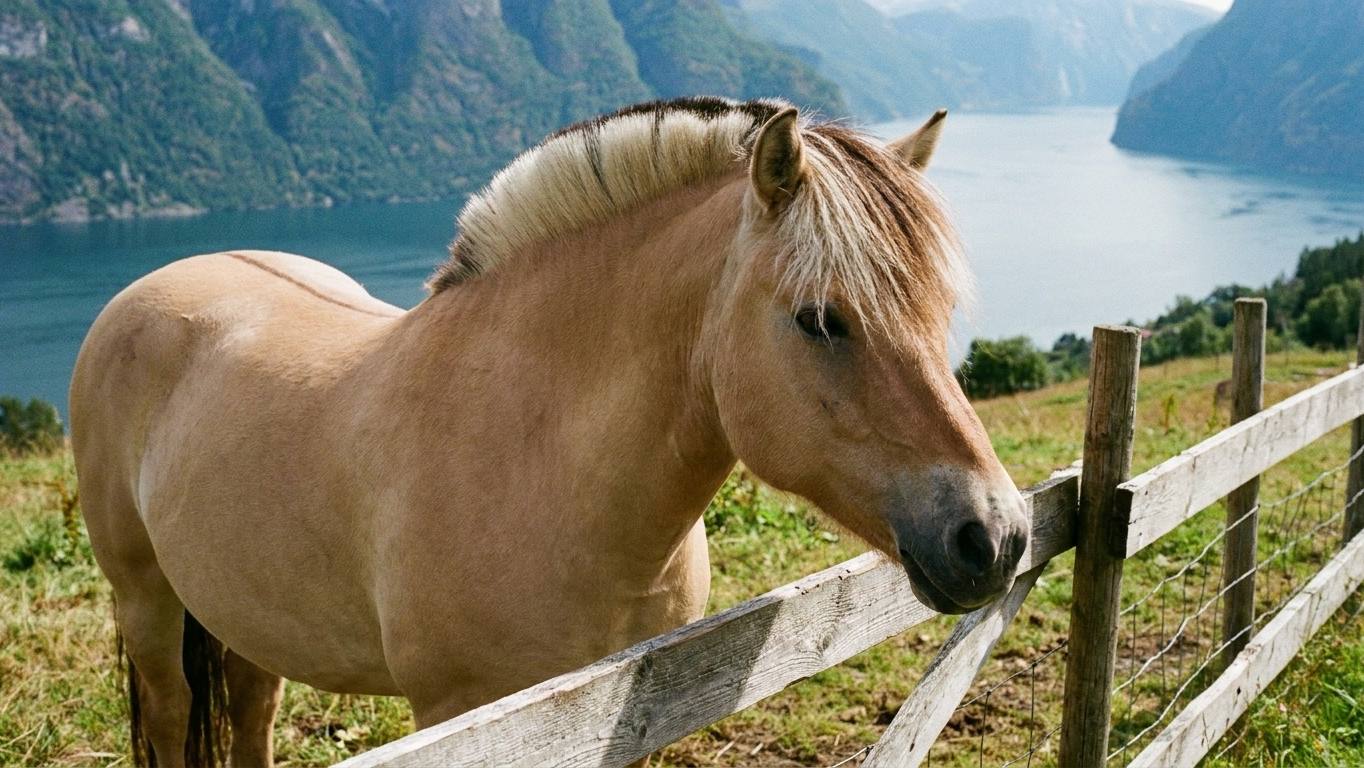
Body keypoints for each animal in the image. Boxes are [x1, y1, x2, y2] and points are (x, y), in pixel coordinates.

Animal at [70, 96, 1028, 767]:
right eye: (821, 320)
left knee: (252, 706)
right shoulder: (460, 722)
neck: (540, 464)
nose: (997, 536)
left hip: (243, 610)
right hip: (144, 602)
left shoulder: (630, 715)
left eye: (940, 312)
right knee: (169, 716)